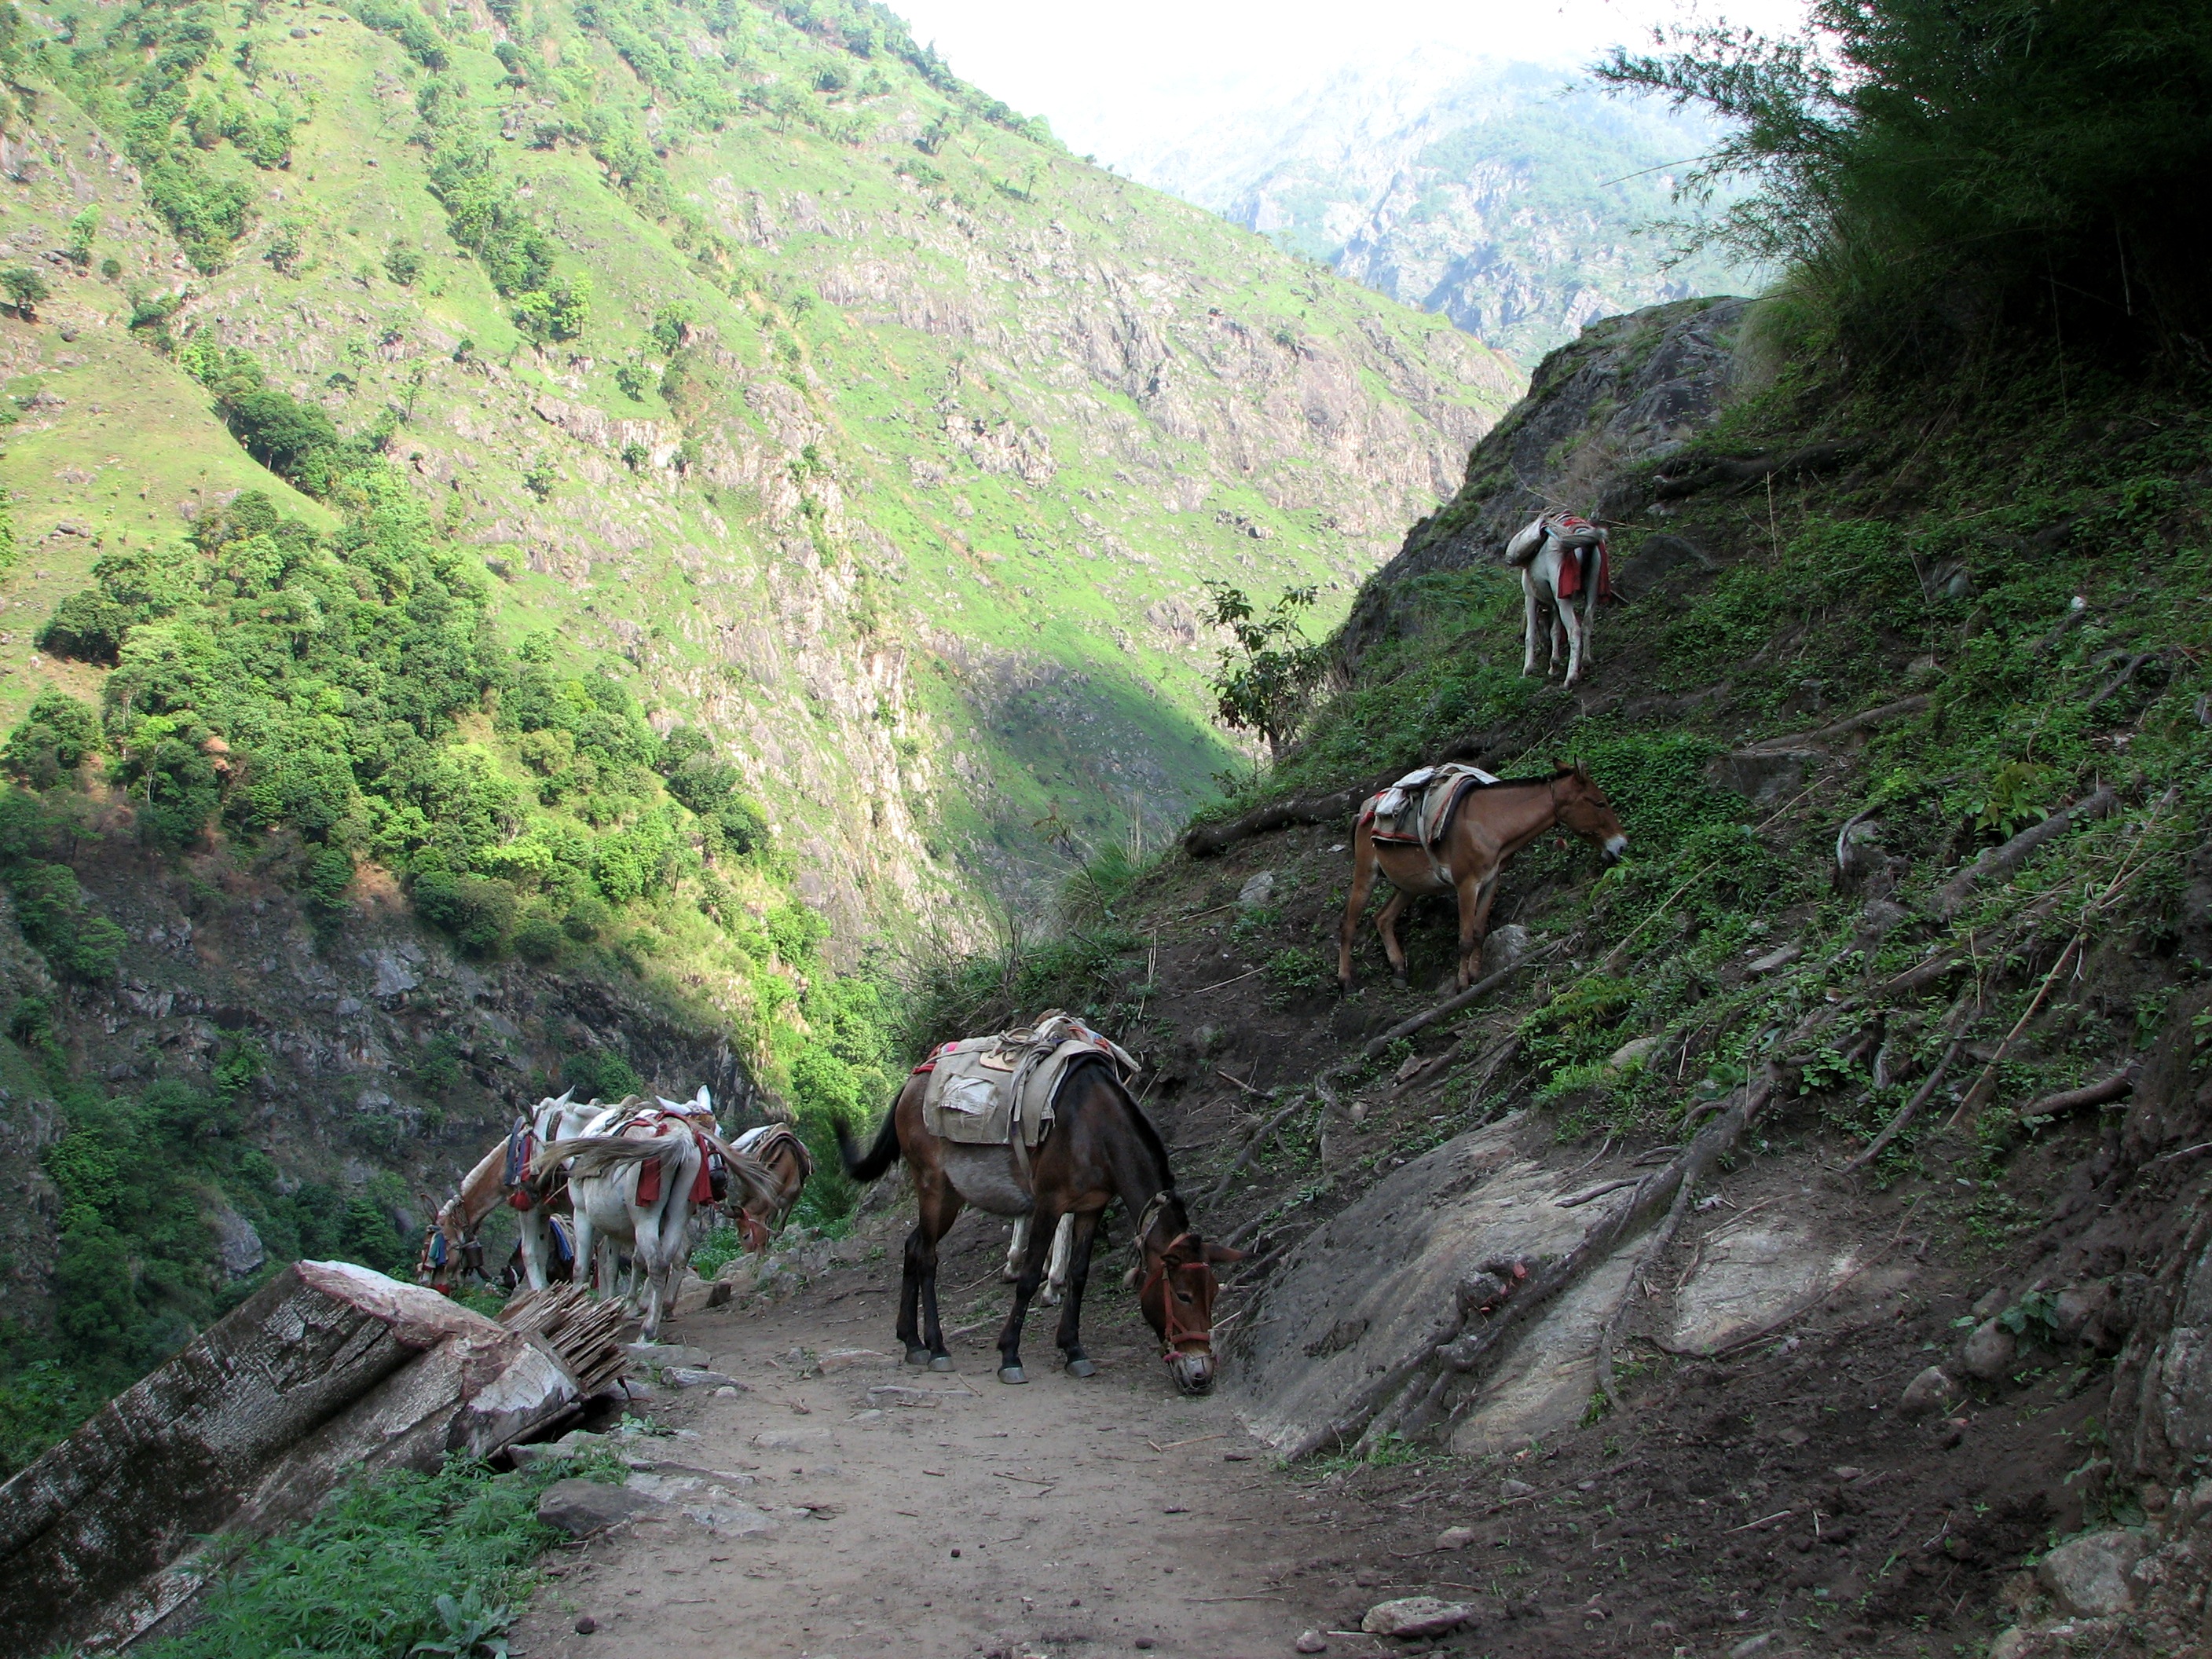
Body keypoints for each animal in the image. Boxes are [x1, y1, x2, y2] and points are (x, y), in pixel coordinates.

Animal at [837, 1059, 1242, 1393]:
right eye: (1183, 1295)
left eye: (1214, 1294)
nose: (1201, 1375)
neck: (1095, 1130)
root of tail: (912, 1083)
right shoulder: (1049, 1205)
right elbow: (1030, 1277)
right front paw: (1010, 1356)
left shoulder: (1091, 1208)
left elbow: (1079, 1274)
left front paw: (1074, 1350)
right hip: (931, 1186)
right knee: (927, 1258)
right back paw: (936, 1348)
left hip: (950, 1196)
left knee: (913, 1246)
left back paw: (912, 1342)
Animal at [1337, 764, 1628, 993]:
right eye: (1600, 803)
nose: (1622, 845)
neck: (1490, 823)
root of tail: (1364, 811)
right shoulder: (1467, 884)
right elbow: (1465, 939)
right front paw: (1462, 984)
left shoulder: (1491, 881)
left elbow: (1478, 932)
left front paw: (1475, 974)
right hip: (1366, 874)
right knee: (1348, 925)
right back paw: (1345, 981)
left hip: (1411, 885)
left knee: (1383, 918)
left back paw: (1398, 970)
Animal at [1505, 512, 1610, 688]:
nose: (1517, 636)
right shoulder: (1554, 603)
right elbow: (1555, 631)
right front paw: (1553, 665)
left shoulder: (1530, 598)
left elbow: (1531, 635)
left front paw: (1528, 670)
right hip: (1592, 591)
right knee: (1587, 624)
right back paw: (1586, 665)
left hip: (1564, 600)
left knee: (1574, 630)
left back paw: (1570, 678)